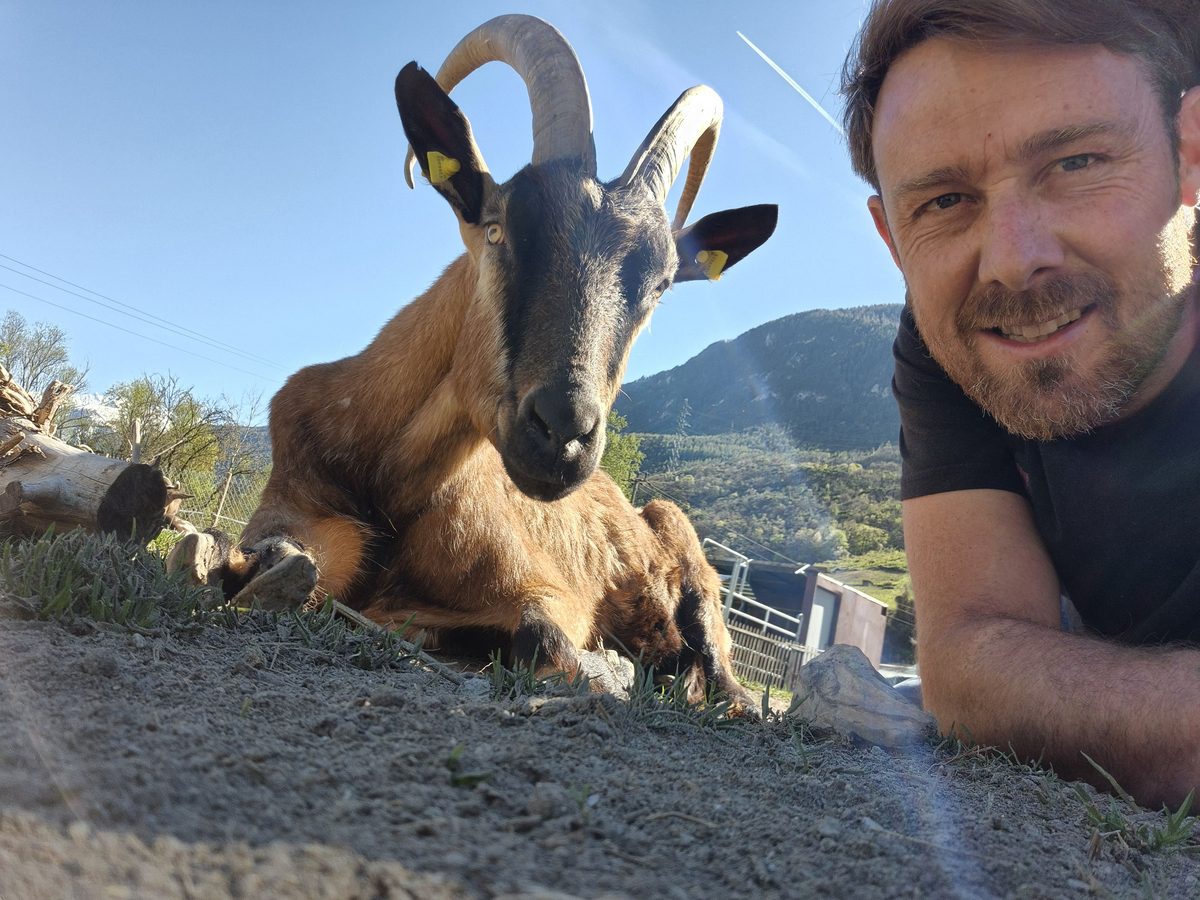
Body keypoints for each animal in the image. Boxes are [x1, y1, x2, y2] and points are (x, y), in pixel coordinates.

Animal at [170, 15, 777, 707]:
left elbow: (544, 635)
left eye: (660, 286)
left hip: (682, 541)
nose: (563, 434)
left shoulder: (545, 588)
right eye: (497, 227)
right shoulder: (294, 499)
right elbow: (258, 553)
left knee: (722, 672)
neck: (386, 477)